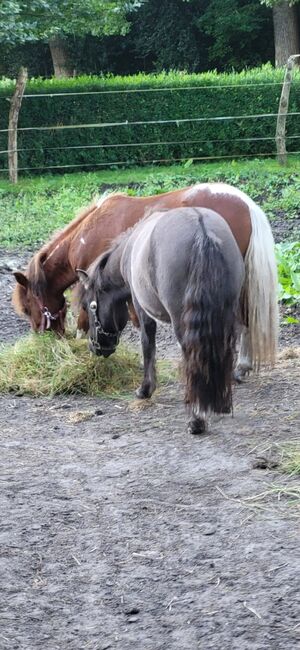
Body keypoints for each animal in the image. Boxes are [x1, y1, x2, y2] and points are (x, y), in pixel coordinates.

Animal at [77, 205, 246, 432]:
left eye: (89, 306)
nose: (95, 347)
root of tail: (203, 232)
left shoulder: (141, 309)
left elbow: (147, 345)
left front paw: (145, 389)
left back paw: (196, 418)